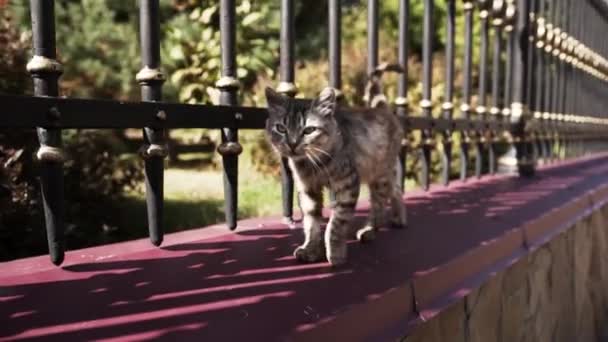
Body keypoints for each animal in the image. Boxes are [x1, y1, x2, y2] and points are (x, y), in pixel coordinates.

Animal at [264, 70, 406, 268]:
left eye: (309, 130)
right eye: (281, 128)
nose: (292, 144)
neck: (313, 164)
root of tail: (383, 109)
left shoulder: (347, 184)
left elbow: (336, 224)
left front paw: (335, 253)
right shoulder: (308, 190)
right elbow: (311, 223)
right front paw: (310, 250)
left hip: (379, 176)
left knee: (379, 205)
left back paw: (369, 230)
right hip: (379, 174)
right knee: (396, 189)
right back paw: (399, 217)